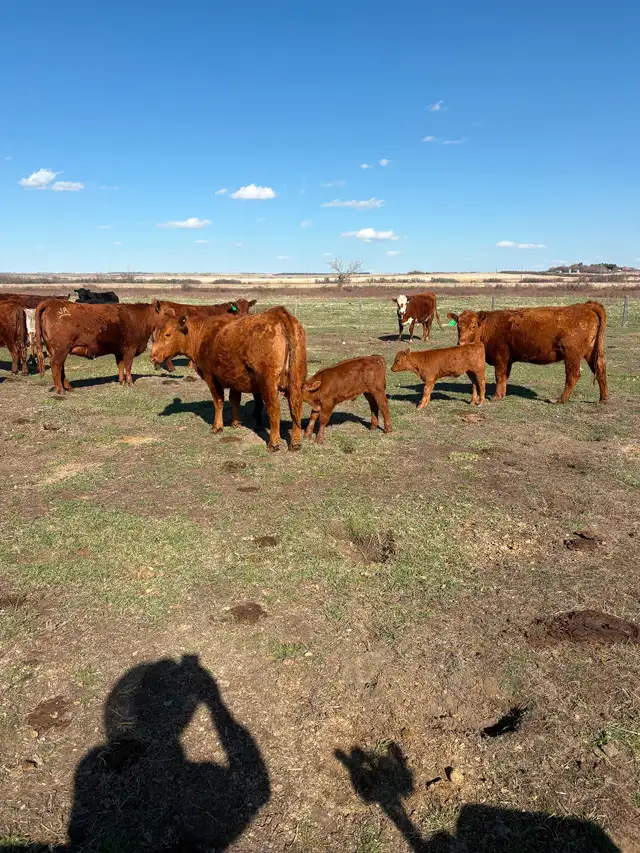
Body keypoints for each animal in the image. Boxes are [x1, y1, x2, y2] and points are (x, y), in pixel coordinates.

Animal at [35, 300, 164, 394]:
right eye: (167, 313)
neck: (138, 317)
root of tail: (53, 302)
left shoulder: (119, 351)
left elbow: (121, 365)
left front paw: (121, 381)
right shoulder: (130, 348)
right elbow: (128, 366)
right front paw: (130, 382)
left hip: (56, 350)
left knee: (61, 367)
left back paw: (68, 387)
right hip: (60, 350)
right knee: (56, 365)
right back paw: (61, 390)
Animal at [150, 307, 307, 452]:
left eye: (167, 334)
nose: (152, 357)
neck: (202, 334)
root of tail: (276, 313)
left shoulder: (211, 378)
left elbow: (218, 402)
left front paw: (217, 426)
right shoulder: (235, 378)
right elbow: (234, 400)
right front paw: (236, 423)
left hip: (268, 382)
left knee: (274, 408)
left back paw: (273, 443)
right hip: (297, 379)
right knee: (296, 405)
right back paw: (296, 442)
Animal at [447, 302, 608, 404]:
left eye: (473, 326)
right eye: (458, 326)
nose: (461, 343)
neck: (489, 327)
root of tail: (586, 305)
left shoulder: (501, 357)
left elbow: (499, 376)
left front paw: (496, 396)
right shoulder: (508, 360)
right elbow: (504, 377)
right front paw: (502, 394)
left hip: (572, 355)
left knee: (573, 375)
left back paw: (560, 400)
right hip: (591, 352)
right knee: (600, 370)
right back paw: (603, 398)